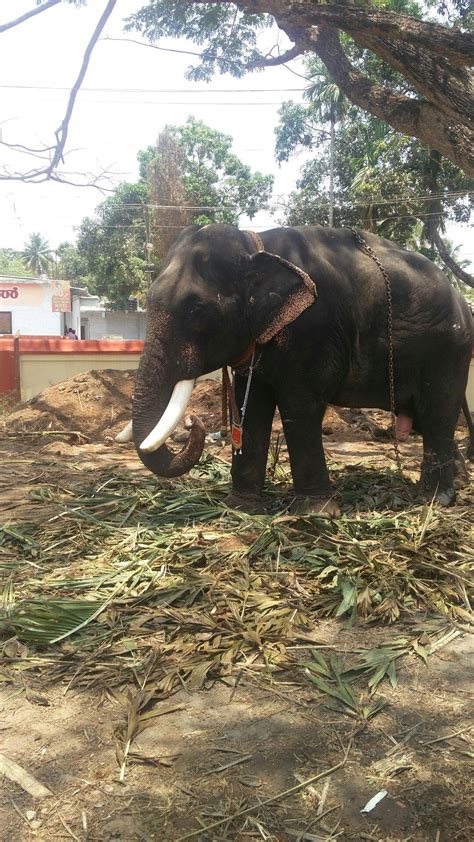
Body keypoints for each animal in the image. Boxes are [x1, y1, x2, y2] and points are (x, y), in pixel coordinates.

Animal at [117, 223, 470, 512]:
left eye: (196, 309)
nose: (193, 422)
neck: (255, 243)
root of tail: (462, 302)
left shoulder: (312, 332)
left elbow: (300, 407)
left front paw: (316, 511)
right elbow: (252, 410)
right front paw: (240, 505)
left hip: (447, 352)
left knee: (437, 416)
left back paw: (433, 500)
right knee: (427, 419)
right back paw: (458, 485)